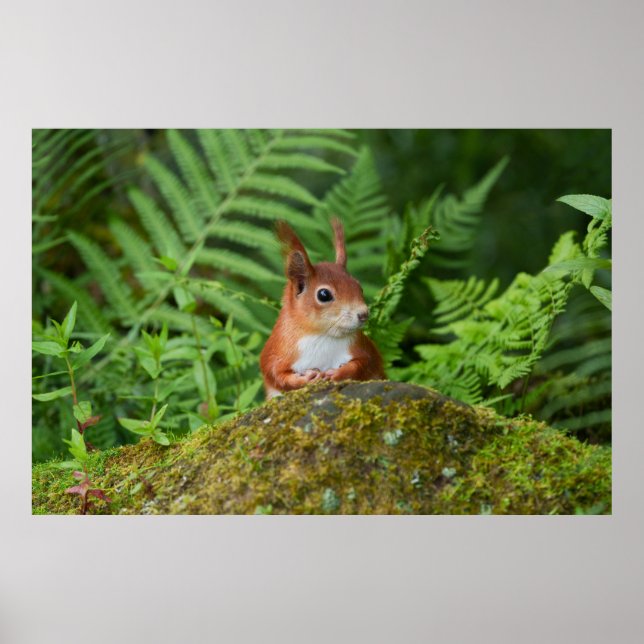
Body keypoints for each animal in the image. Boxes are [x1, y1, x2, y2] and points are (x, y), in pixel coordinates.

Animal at [260, 218, 385, 398]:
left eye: (359, 287)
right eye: (324, 295)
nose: (363, 314)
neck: (321, 335)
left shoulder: (364, 348)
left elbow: (364, 363)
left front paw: (338, 373)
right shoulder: (277, 350)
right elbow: (275, 373)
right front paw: (303, 379)